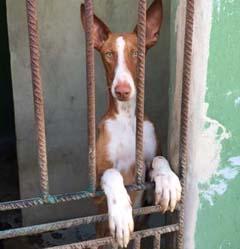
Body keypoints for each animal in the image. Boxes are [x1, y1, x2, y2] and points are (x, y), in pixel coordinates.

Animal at [79, 0, 181, 248]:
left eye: (136, 53)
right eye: (108, 54)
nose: (122, 90)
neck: (126, 118)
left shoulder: (147, 196)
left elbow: (159, 159)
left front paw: (168, 180)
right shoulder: (95, 195)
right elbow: (112, 173)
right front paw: (121, 213)